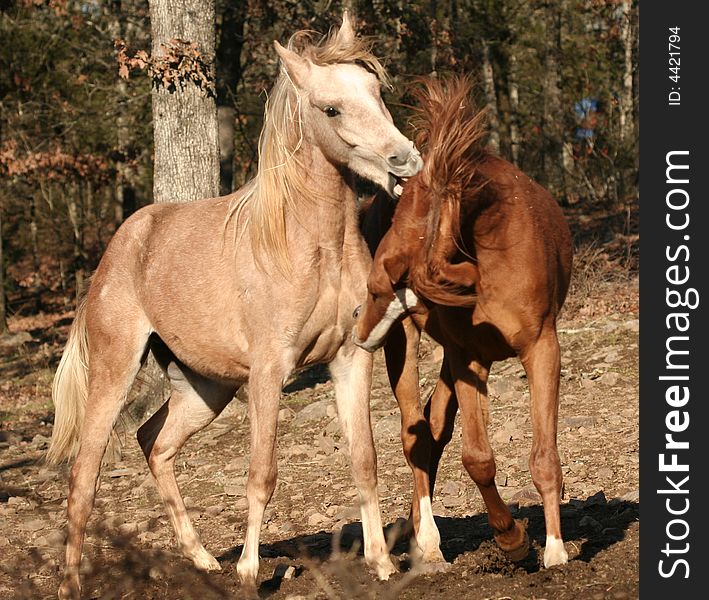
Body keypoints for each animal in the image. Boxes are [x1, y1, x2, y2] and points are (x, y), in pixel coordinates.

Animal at [47, 12, 420, 596]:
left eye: (377, 91)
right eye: (330, 108)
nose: (404, 160)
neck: (312, 246)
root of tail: (118, 248)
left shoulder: (350, 360)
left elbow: (365, 460)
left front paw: (382, 564)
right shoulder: (269, 372)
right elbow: (262, 472)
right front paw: (248, 572)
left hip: (205, 388)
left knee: (154, 442)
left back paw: (201, 560)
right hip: (115, 371)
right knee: (84, 473)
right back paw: (73, 584)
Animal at [356, 77, 572, 568]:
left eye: (385, 285)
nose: (359, 332)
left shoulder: (541, 348)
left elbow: (544, 457)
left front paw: (554, 550)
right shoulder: (468, 358)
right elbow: (477, 457)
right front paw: (512, 539)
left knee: (433, 430)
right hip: (411, 349)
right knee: (417, 436)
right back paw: (429, 544)